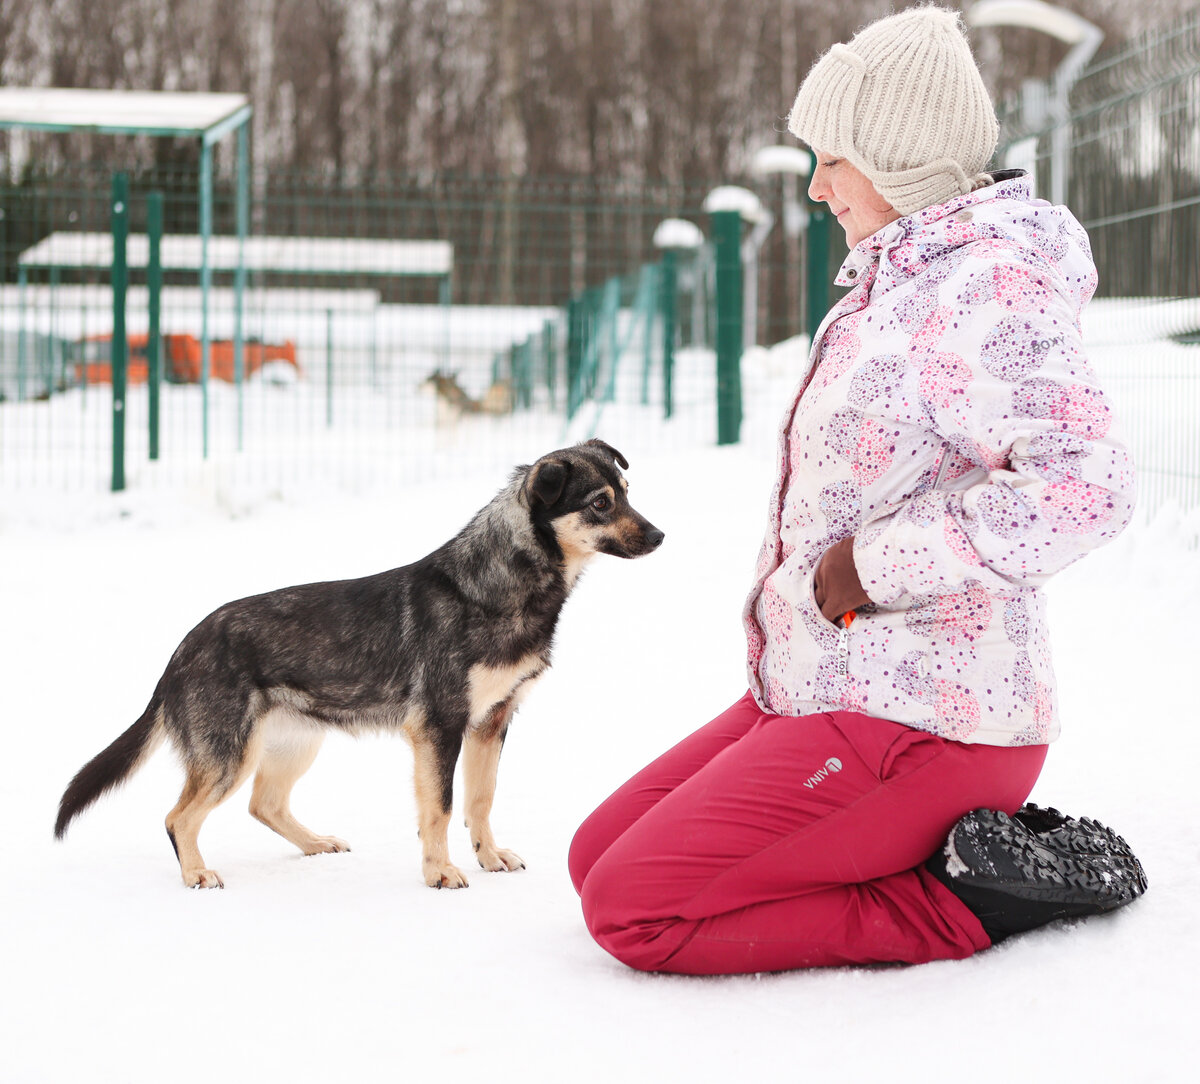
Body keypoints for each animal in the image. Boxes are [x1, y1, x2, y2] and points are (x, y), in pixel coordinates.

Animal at [54, 439, 667, 888]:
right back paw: (197, 874)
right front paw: (440, 873)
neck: (500, 585)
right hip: (232, 754)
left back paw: (314, 844)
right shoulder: (439, 729)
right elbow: (441, 807)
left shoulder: (491, 725)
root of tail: (181, 649)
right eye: (600, 503)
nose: (661, 535)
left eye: (627, 492)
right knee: (179, 817)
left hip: (296, 743)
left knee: (263, 804)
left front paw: (488, 857)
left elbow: (481, 799)